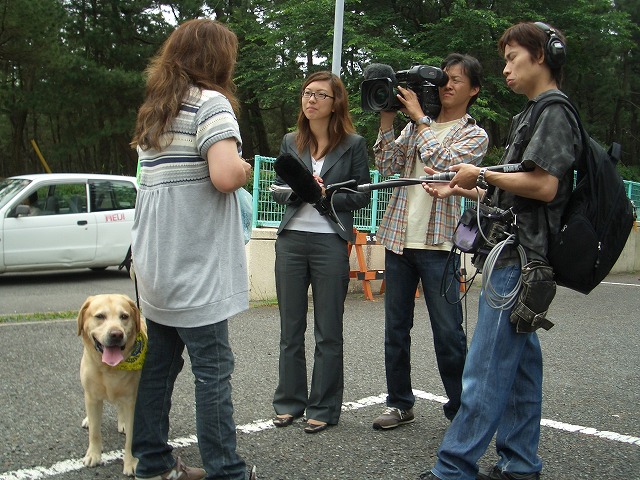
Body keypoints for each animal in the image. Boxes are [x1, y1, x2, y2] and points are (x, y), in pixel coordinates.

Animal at [77, 292, 147, 476]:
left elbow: (131, 437)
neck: (109, 369)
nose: (116, 334)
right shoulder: (92, 397)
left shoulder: (132, 401)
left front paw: (131, 462)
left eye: (124, 316)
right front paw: (93, 455)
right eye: (100, 316)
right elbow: (95, 431)